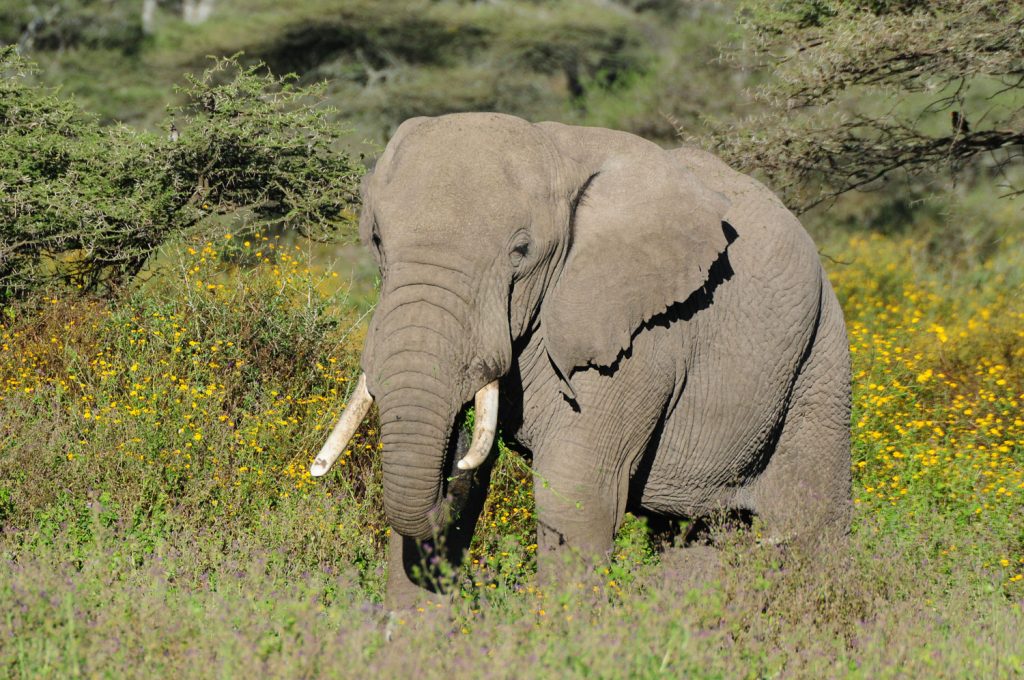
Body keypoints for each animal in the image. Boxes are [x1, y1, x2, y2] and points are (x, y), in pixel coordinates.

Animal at [307, 112, 851, 610]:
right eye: (377, 240)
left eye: (521, 251)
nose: (456, 453)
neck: (556, 154)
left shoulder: (637, 335)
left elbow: (575, 496)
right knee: (694, 532)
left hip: (820, 357)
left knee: (811, 519)